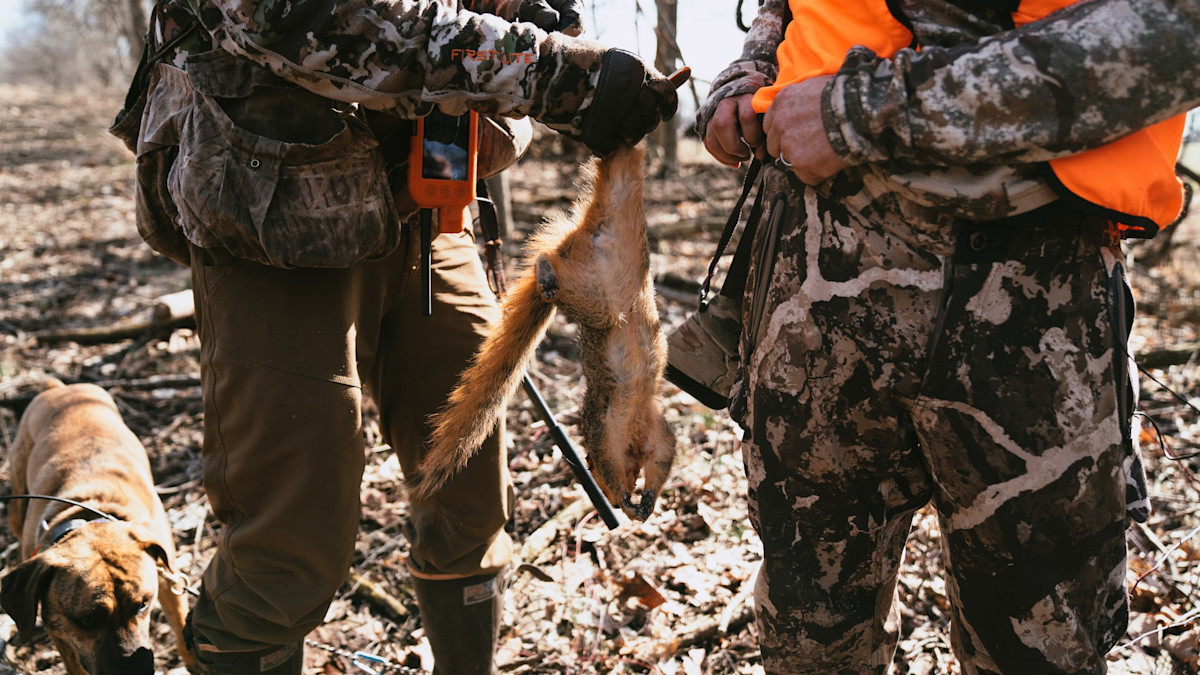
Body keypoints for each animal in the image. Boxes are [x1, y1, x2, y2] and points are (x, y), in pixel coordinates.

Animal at [407, 144, 676, 520]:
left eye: (588, 465)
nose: (609, 500)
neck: (637, 421)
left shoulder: (654, 434)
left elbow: (662, 459)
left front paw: (644, 497)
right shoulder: (607, 431)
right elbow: (632, 461)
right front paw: (630, 500)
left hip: (596, 287)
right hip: (594, 294)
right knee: (555, 261)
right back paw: (545, 273)